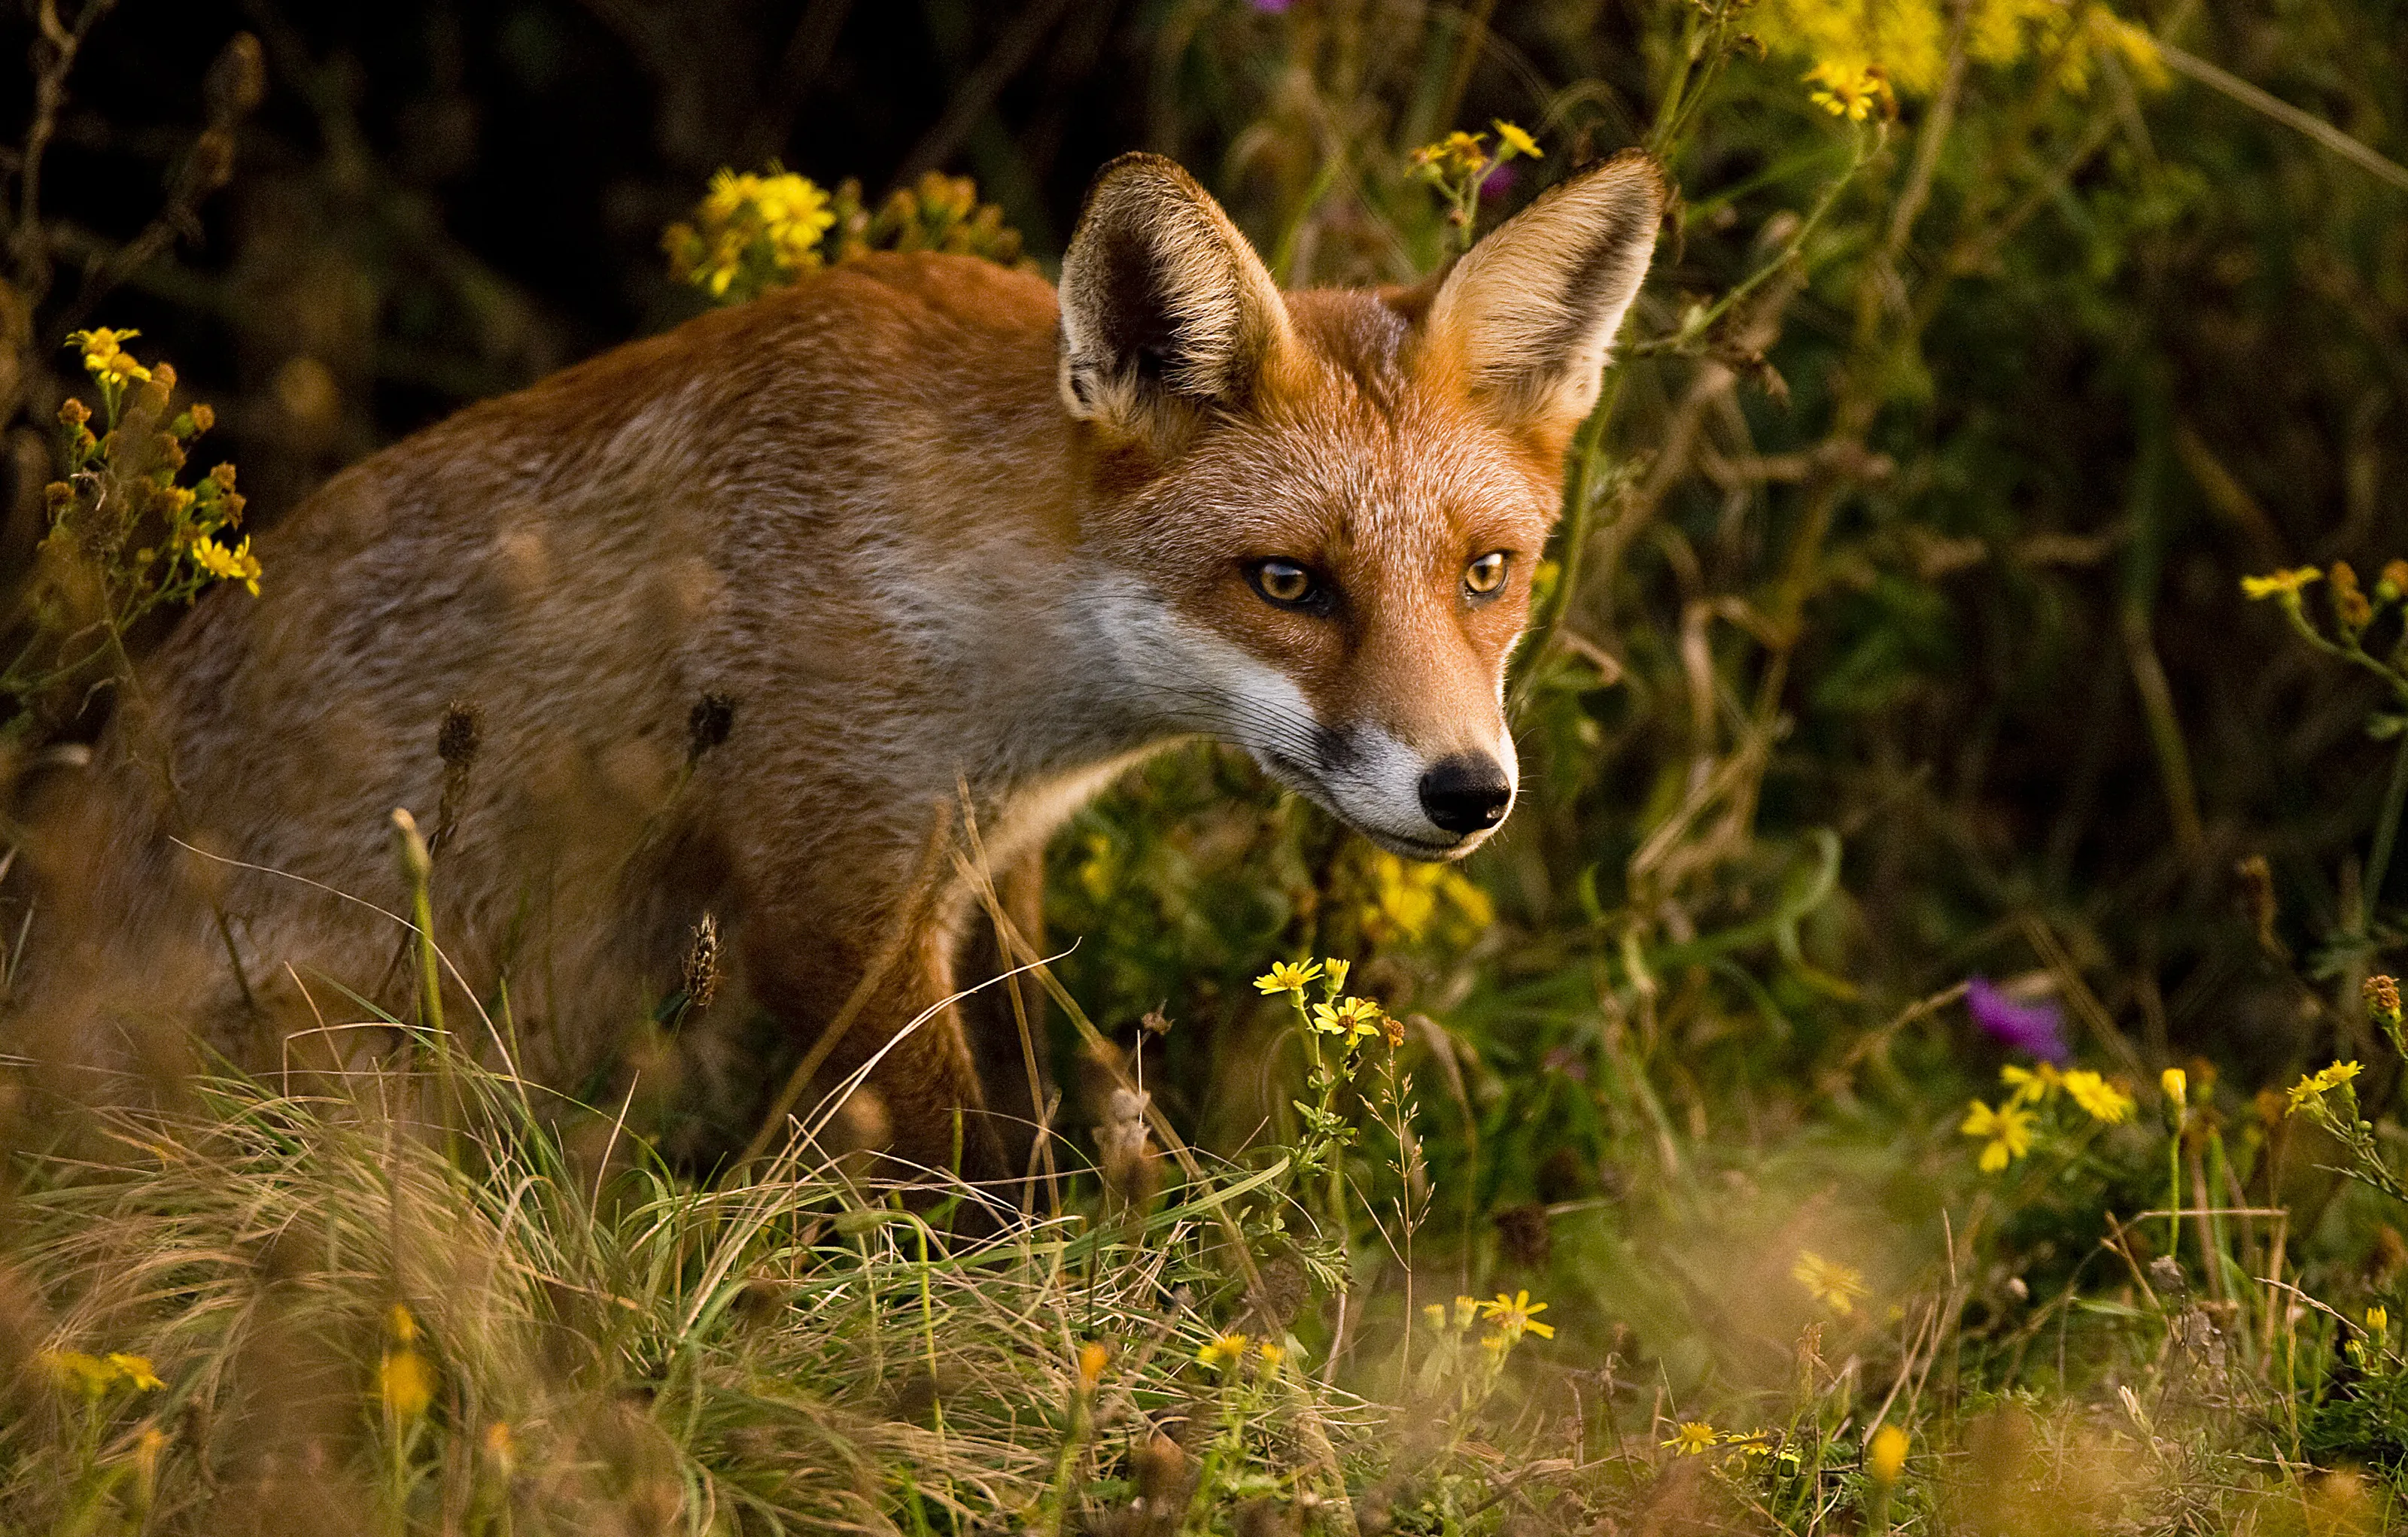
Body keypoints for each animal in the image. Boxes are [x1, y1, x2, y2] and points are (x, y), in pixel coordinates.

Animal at [7, 150, 1664, 1178]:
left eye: (1487, 574)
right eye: (1287, 583)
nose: (1468, 792)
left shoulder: (980, 868)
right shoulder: (827, 881)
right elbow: (951, 1172)